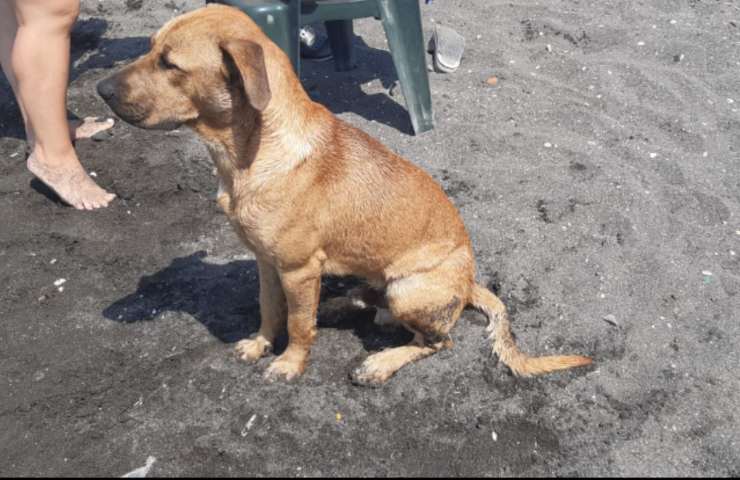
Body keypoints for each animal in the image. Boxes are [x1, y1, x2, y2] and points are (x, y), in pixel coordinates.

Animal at [98, 4, 592, 386]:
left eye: (170, 64)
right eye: (149, 48)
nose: (100, 89)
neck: (251, 152)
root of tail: (470, 284)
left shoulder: (297, 268)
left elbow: (299, 325)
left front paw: (290, 364)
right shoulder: (268, 263)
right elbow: (270, 310)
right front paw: (260, 344)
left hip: (408, 288)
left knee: (436, 339)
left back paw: (379, 363)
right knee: (371, 305)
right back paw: (338, 304)